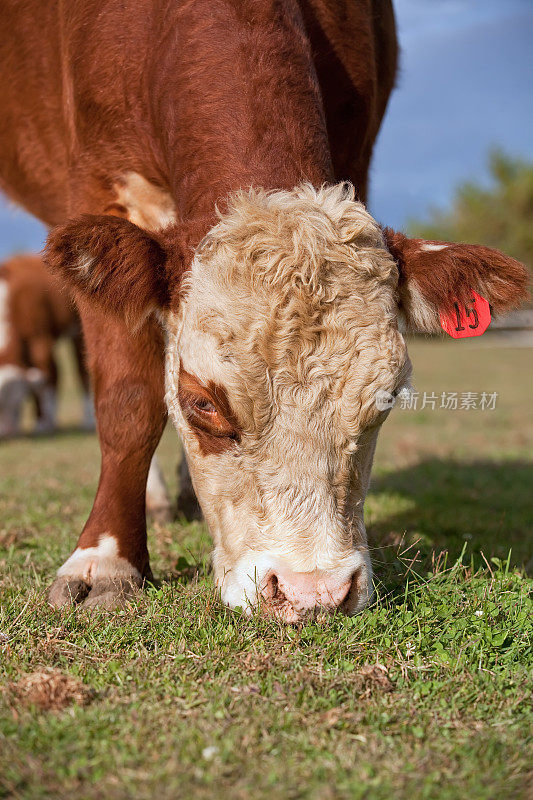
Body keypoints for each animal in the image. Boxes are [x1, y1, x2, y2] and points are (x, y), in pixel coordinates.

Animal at [0, 0, 524, 620]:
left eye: (388, 398)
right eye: (202, 403)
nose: (313, 592)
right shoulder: (100, 185)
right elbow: (129, 401)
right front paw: (104, 560)